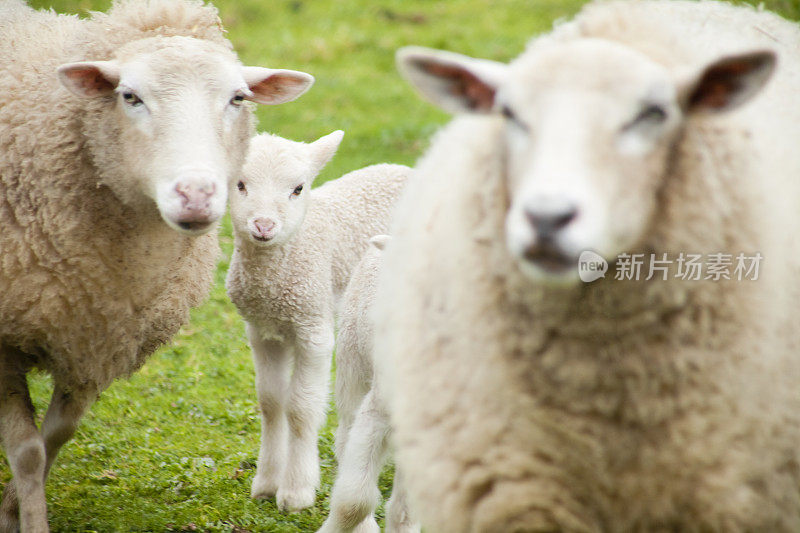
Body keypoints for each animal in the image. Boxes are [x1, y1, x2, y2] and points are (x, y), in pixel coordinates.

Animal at [0, 2, 314, 528]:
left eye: (238, 97)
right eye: (129, 96)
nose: (197, 194)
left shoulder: (98, 339)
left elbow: (56, 437)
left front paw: (11, 510)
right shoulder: (5, 343)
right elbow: (26, 451)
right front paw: (26, 521)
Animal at [227, 131, 410, 510]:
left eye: (298, 188)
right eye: (239, 184)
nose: (263, 226)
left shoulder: (313, 326)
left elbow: (300, 408)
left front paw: (296, 491)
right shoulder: (261, 330)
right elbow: (270, 402)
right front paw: (266, 483)